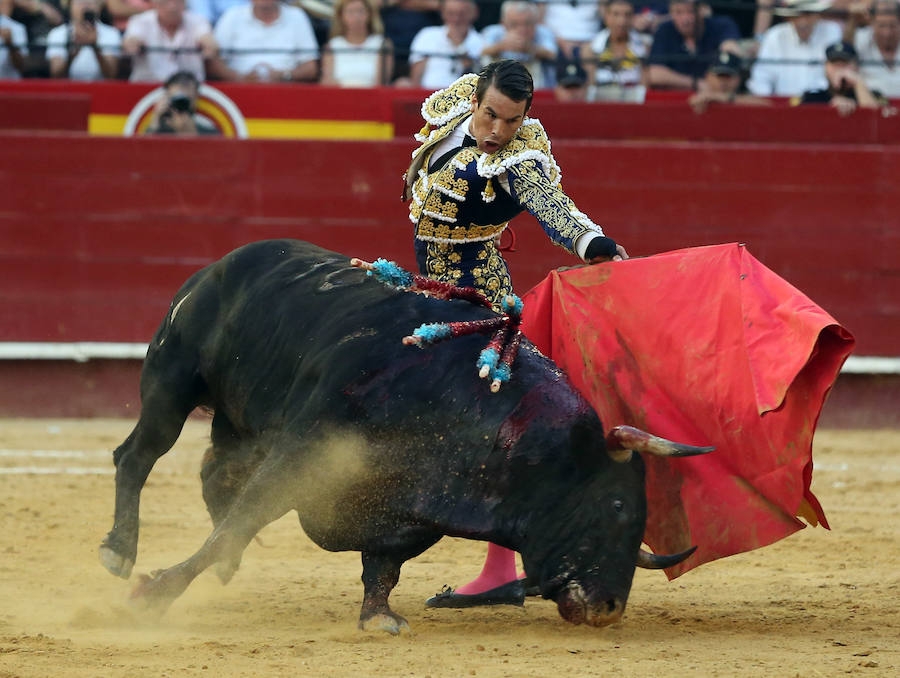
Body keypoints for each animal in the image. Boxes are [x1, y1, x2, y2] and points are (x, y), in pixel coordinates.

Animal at [98, 242, 712, 636]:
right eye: (617, 505)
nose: (609, 607)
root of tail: (223, 263)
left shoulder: (410, 510)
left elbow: (383, 566)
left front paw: (379, 617)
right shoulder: (303, 460)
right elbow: (242, 521)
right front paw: (155, 593)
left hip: (241, 419)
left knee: (215, 470)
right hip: (173, 380)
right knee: (137, 456)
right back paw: (118, 553)